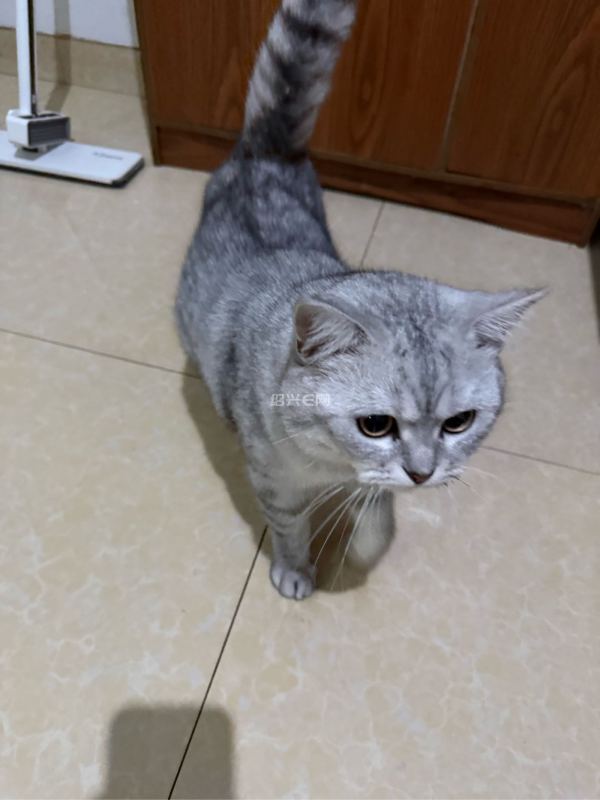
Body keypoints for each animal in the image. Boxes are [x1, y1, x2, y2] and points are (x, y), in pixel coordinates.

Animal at [175, 0, 545, 600]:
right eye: (376, 425)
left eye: (460, 422)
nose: (423, 472)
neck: (335, 464)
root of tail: (264, 154)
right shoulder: (275, 482)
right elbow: (290, 526)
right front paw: (296, 568)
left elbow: (379, 510)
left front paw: (368, 539)